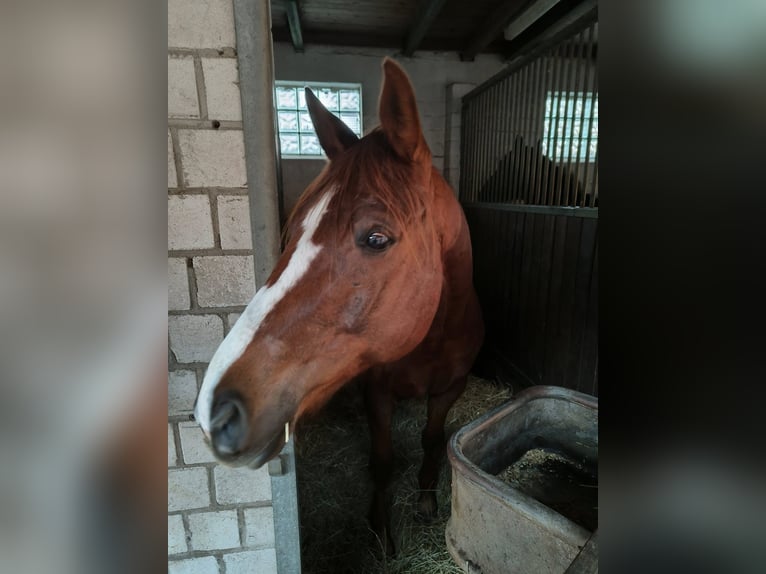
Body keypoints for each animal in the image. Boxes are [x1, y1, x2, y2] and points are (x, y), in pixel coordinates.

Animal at [195, 58, 488, 560]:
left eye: (376, 238)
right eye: (292, 229)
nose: (217, 414)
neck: (431, 337)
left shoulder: (450, 388)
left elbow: (432, 439)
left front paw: (426, 500)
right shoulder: (377, 393)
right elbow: (382, 460)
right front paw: (381, 531)